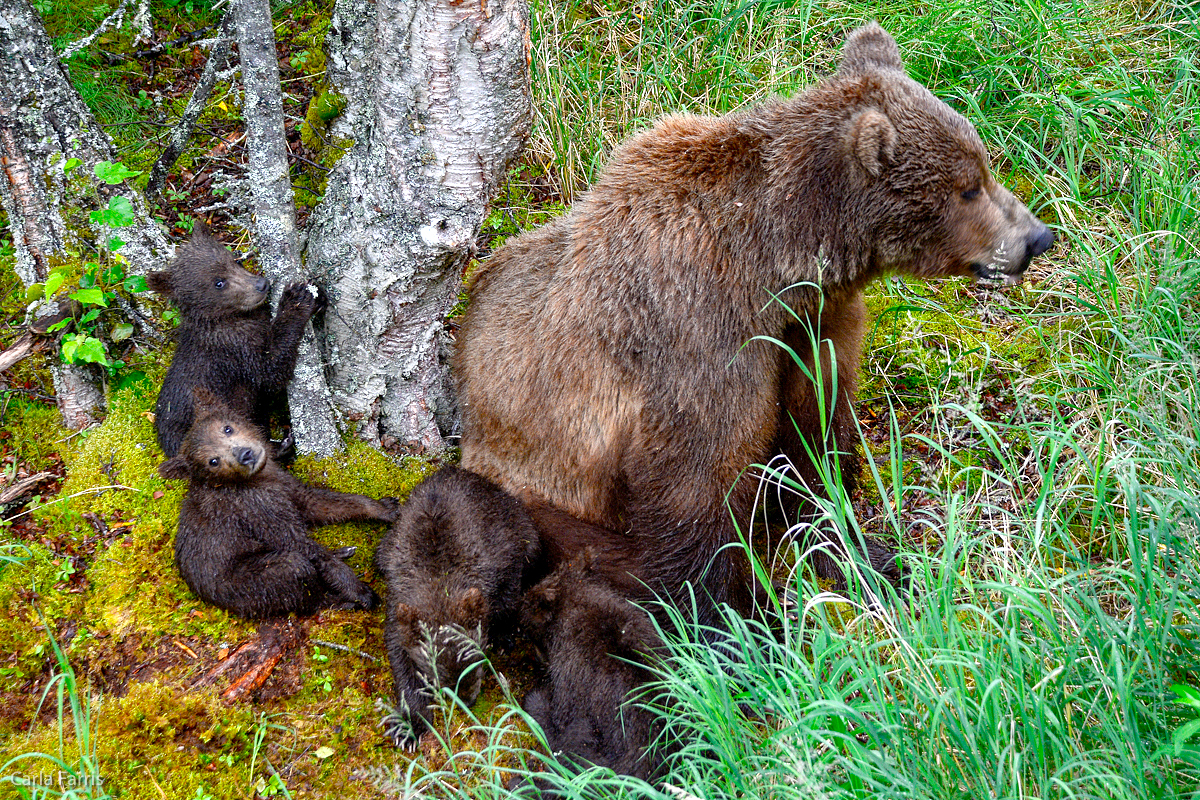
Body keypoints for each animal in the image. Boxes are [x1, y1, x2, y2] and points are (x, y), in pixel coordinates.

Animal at [453, 21, 1056, 618]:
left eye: (984, 165)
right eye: (968, 187)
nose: (1037, 237)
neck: (773, 265)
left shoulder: (815, 322)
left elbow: (815, 437)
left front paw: (867, 553)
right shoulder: (701, 334)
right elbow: (700, 480)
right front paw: (736, 617)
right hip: (527, 481)